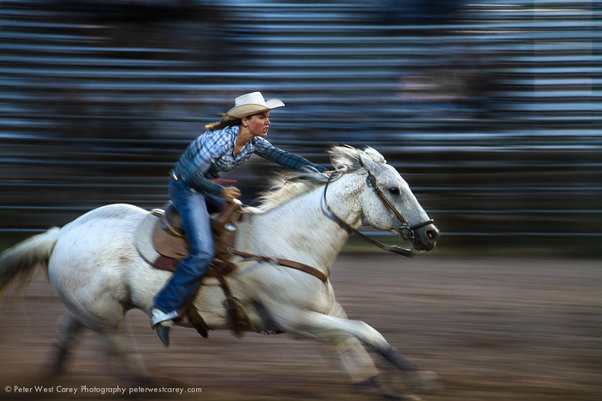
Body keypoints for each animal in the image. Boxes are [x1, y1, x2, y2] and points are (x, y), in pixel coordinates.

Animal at [1, 145, 440, 398]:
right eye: (395, 189)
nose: (431, 234)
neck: (289, 241)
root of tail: (62, 233)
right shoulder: (295, 319)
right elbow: (366, 331)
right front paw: (413, 376)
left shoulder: (325, 313)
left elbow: (351, 345)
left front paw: (381, 386)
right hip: (106, 314)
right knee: (115, 352)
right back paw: (150, 385)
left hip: (92, 308)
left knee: (67, 332)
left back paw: (51, 378)